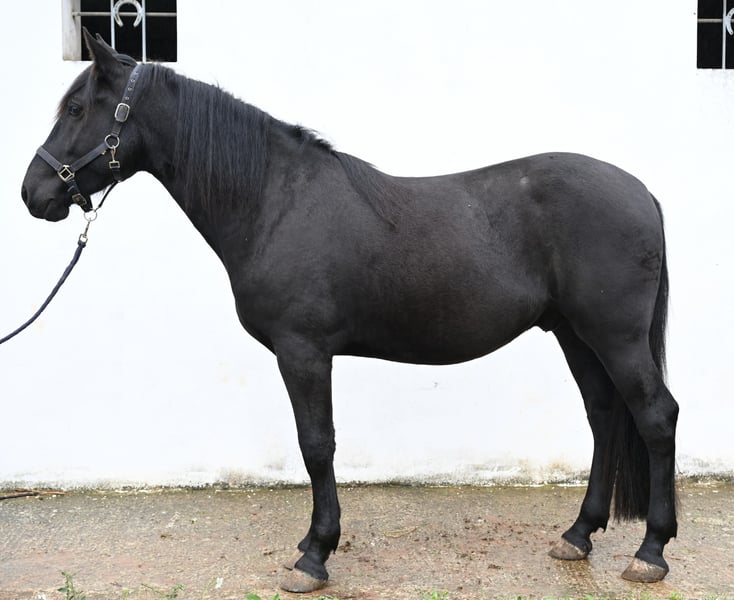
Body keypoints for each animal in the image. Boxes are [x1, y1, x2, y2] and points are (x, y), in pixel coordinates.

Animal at [21, 30, 678, 593]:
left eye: (76, 109)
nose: (33, 193)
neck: (274, 200)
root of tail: (642, 192)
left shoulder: (303, 352)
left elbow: (317, 445)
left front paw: (314, 555)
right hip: (575, 333)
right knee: (602, 415)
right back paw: (578, 535)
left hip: (614, 336)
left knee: (655, 415)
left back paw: (650, 552)